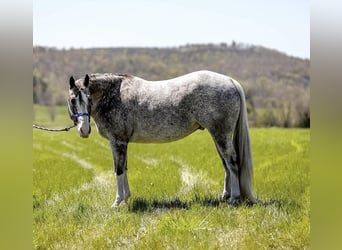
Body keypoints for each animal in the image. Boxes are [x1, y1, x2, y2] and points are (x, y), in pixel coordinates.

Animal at [68, 70, 256, 207]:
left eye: (89, 98)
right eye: (72, 100)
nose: (84, 130)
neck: (113, 94)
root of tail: (230, 81)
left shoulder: (117, 141)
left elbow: (119, 170)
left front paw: (117, 202)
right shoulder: (122, 143)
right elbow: (125, 169)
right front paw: (127, 198)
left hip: (221, 134)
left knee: (232, 162)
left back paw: (234, 199)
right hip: (217, 135)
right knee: (226, 164)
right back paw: (225, 196)